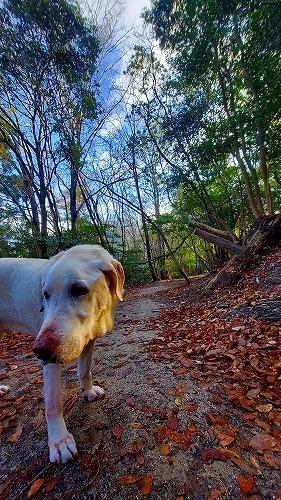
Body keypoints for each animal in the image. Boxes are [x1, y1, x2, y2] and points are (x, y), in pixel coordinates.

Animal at [0, 246, 123, 464]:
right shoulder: (50, 361)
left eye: (78, 289)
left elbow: (84, 371)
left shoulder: (89, 339)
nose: (39, 351)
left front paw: (88, 391)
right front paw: (59, 441)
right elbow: (53, 402)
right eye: (45, 294)